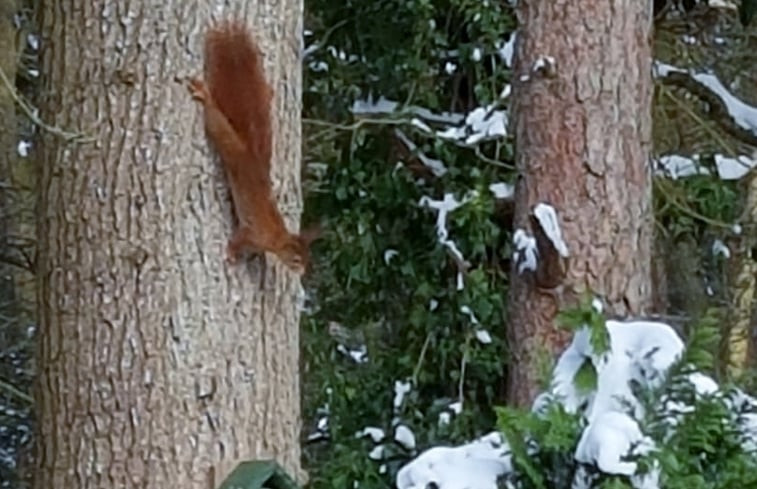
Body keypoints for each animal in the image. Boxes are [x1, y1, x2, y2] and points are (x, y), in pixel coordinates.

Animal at [190, 19, 320, 272]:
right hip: (227, 142)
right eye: (296, 259)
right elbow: (238, 240)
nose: (302, 272)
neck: (277, 238)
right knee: (215, 121)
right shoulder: (252, 234)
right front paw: (231, 254)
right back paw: (204, 94)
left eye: (309, 258)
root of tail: (250, 153)